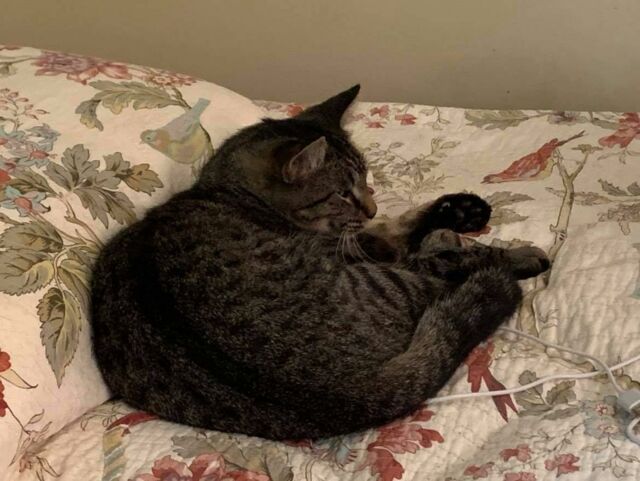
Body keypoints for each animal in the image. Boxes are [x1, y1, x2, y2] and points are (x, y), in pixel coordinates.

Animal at [90, 85, 549, 440]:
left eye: (366, 179)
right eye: (343, 192)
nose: (370, 205)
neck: (222, 191)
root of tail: (346, 394)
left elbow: (397, 223)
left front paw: (457, 211)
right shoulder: (362, 247)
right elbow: (400, 233)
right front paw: (475, 233)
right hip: (393, 284)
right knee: (448, 268)